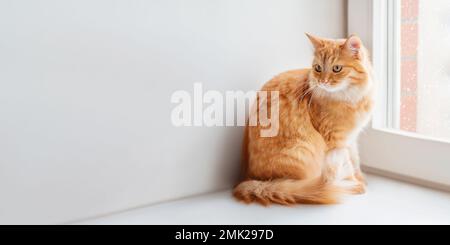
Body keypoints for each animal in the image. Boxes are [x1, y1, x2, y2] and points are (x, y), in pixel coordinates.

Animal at [234, 34, 374, 205]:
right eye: (318, 68)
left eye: (336, 68)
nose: (322, 82)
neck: (351, 98)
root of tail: (251, 179)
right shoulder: (336, 141)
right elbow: (347, 165)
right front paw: (354, 184)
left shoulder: (351, 138)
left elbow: (355, 161)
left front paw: (360, 178)